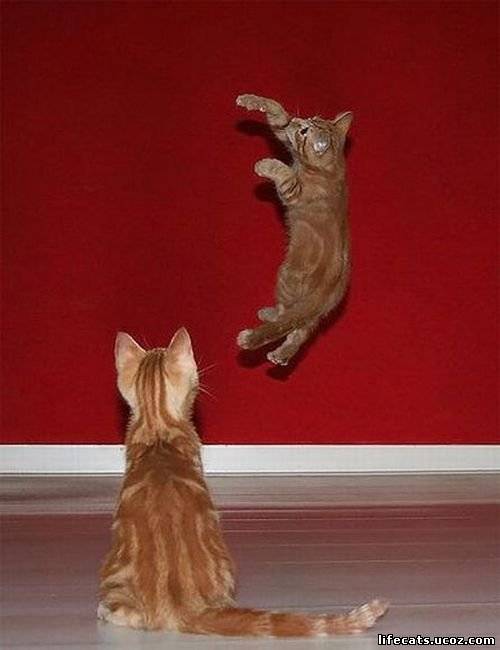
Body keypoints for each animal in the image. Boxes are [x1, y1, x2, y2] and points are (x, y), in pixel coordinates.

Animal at [236, 94, 353, 366]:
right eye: (306, 122)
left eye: (304, 131)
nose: (297, 121)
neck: (331, 168)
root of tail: (330, 286)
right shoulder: (284, 137)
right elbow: (277, 113)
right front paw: (251, 100)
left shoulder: (293, 190)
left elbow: (284, 172)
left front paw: (266, 165)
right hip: (317, 311)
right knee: (302, 330)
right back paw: (281, 355)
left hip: (287, 280)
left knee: (290, 321)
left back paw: (270, 317)